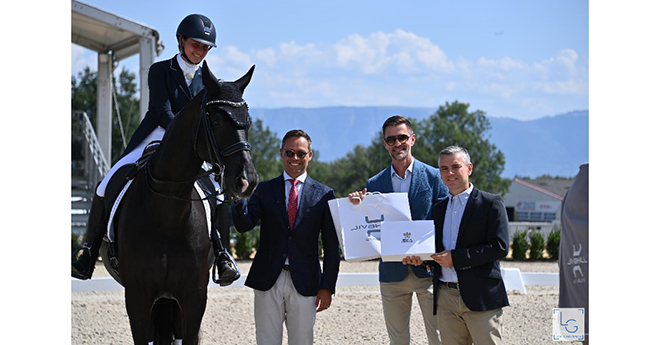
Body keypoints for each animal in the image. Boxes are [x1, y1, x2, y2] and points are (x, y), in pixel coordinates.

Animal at [100, 62, 258, 344]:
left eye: (247, 122)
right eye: (216, 120)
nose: (246, 182)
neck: (168, 215)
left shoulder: (194, 295)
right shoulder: (137, 296)